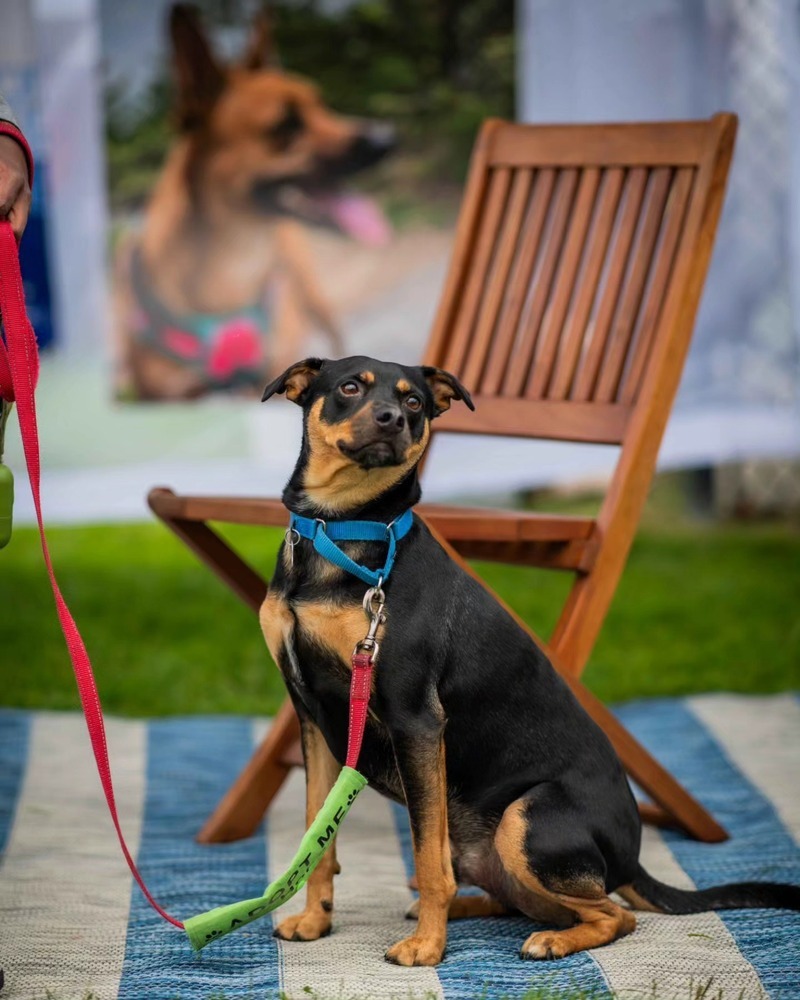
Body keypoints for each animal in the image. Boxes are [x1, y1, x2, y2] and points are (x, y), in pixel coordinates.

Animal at [260, 356, 796, 964]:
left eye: (414, 401)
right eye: (350, 387)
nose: (392, 418)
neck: (341, 528)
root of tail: (632, 857)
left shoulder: (414, 718)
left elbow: (425, 856)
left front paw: (426, 949)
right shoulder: (314, 717)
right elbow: (318, 836)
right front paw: (314, 922)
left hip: (525, 819)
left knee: (616, 915)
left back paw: (546, 940)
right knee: (514, 895)